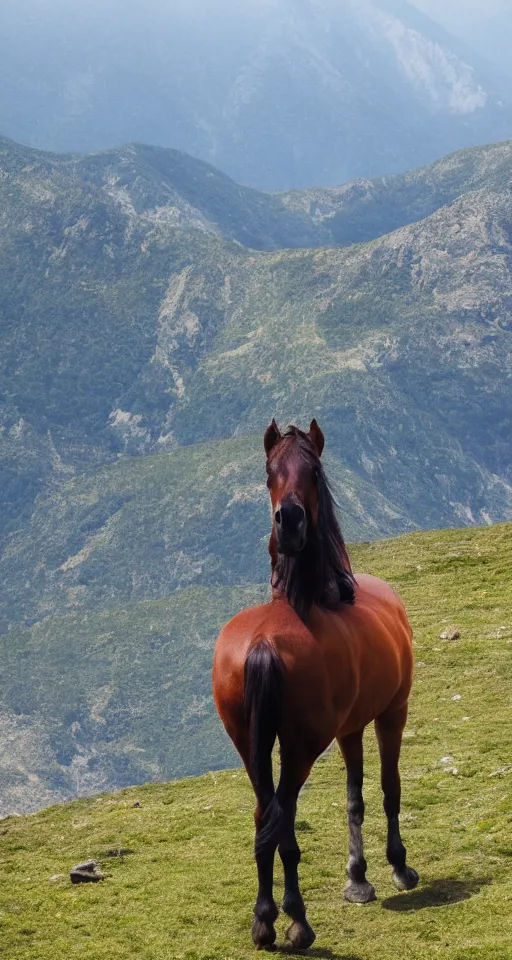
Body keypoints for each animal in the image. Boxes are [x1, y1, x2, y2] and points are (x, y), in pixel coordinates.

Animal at [210, 422, 418, 952]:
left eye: (312, 471)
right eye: (270, 472)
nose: (288, 520)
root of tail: (264, 642)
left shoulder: (349, 727)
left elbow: (354, 797)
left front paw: (358, 877)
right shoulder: (393, 711)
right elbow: (388, 787)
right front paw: (398, 867)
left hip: (250, 745)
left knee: (265, 817)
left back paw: (265, 921)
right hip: (302, 747)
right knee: (281, 820)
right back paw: (298, 922)